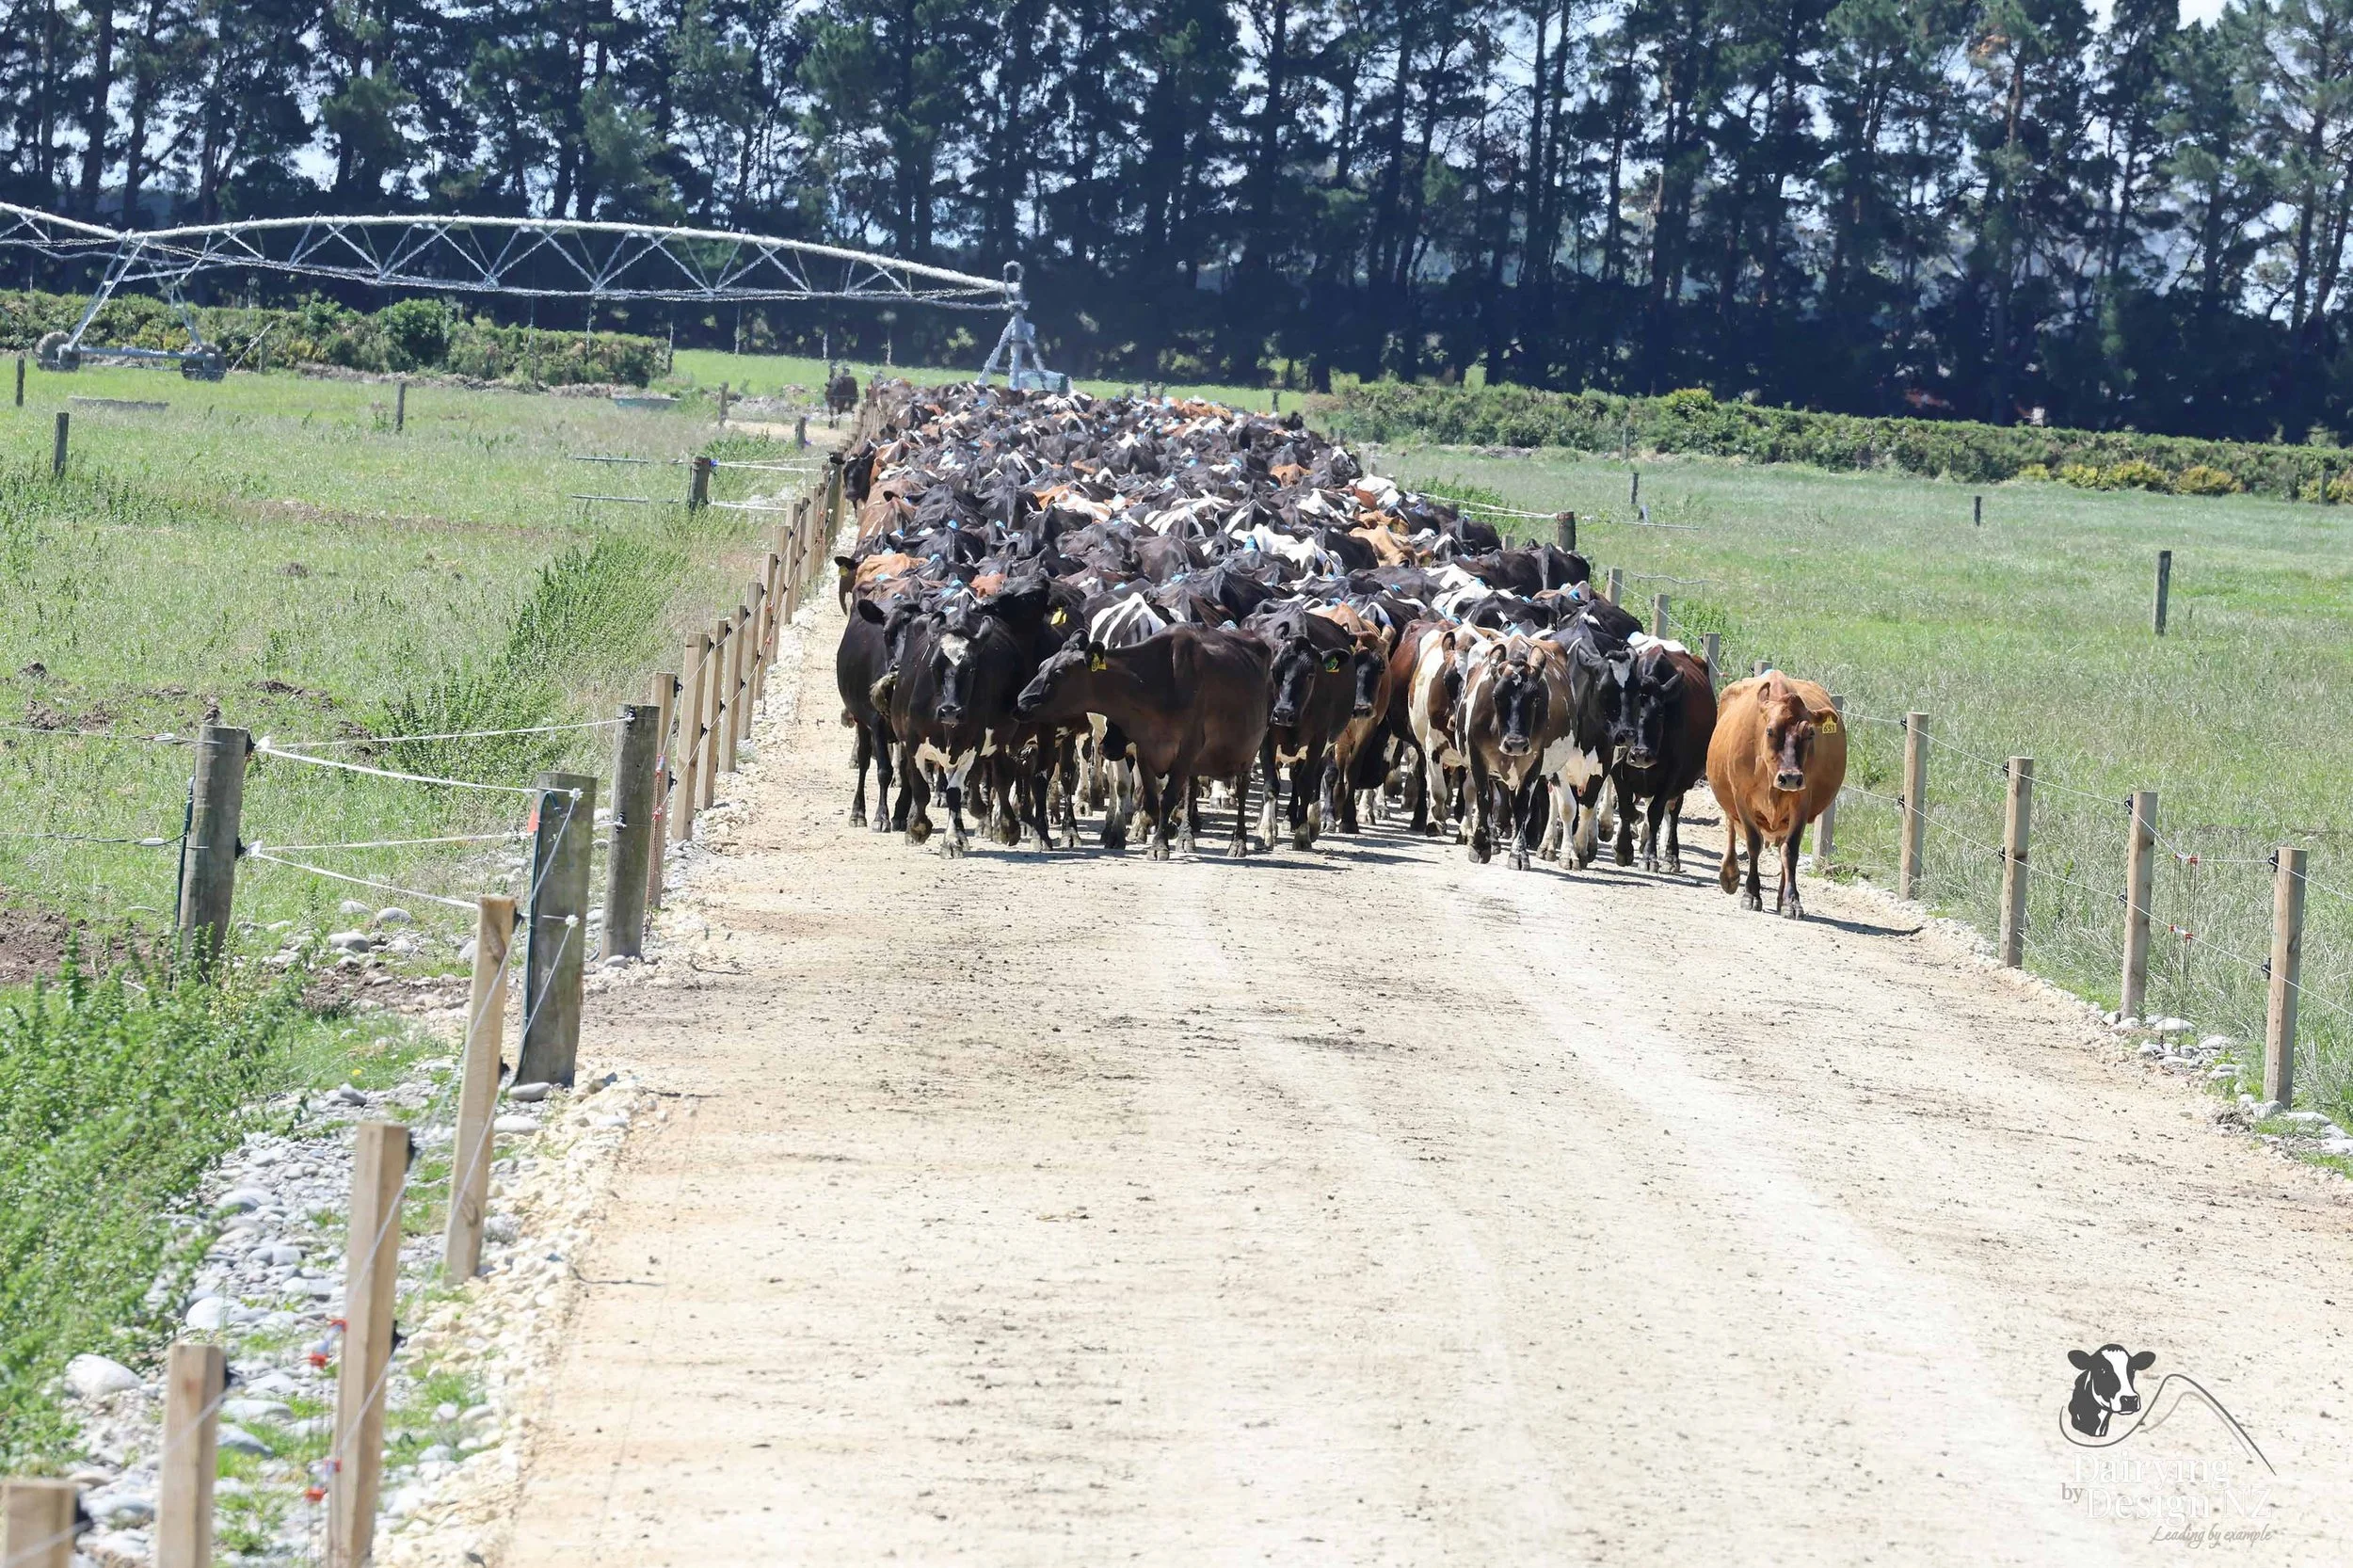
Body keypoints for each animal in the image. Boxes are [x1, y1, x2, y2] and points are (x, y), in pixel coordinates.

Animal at [1013, 625, 1273, 860]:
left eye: (1058, 673)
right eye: (1040, 667)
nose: (1021, 703)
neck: (1154, 683)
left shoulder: (1187, 749)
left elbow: (1167, 797)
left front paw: (1159, 845)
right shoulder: (1146, 748)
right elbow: (1150, 800)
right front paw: (1161, 830)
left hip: (1249, 749)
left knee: (1242, 788)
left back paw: (1238, 842)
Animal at [1605, 639, 1718, 873]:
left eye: (1659, 713)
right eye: (1624, 707)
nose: (1640, 754)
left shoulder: (1672, 775)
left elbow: (1655, 813)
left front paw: (1650, 857)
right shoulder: (1617, 770)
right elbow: (1626, 808)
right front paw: (1623, 848)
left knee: (1673, 812)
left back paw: (1671, 857)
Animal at [1706, 670, 1848, 917]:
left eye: (1810, 733)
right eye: (1770, 731)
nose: (1790, 777)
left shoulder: (1801, 801)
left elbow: (1790, 850)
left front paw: (1792, 901)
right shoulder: (1742, 797)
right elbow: (1754, 843)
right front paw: (1751, 894)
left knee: (1782, 847)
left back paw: (1781, 897)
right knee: (1731, 825)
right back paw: (1730, 875)